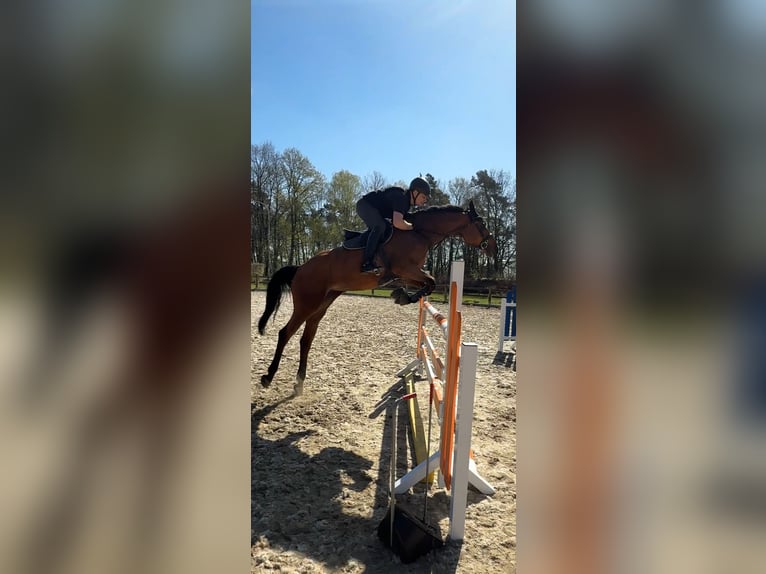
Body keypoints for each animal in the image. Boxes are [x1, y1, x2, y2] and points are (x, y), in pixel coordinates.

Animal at [257, 199, 497, 395]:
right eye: (482, 224)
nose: (492, 248)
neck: (418, 233)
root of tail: (301, 268)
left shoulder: (406, 274)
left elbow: (428, 284)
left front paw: (402, 295)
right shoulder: (405, 269)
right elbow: (431, 281)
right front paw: (403, 296)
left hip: (322, 304)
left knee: (306, 340)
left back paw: (299, 383)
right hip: (306, 304)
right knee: (285, 333)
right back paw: (268, 376)